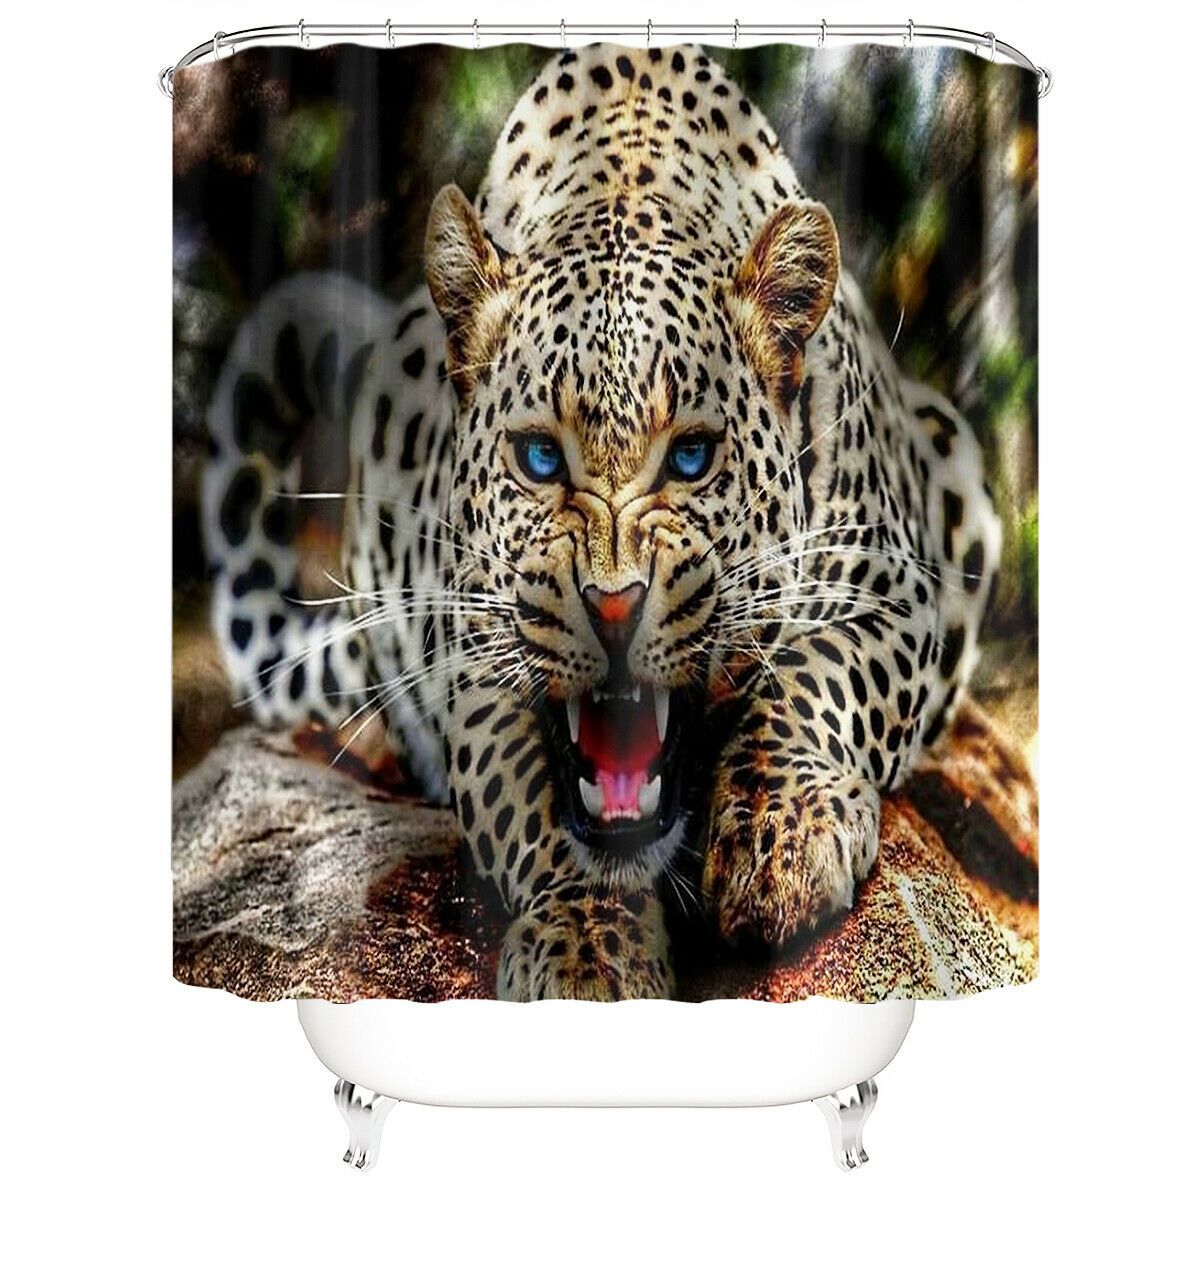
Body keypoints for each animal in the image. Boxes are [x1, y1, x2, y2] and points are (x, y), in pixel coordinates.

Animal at [200, 44, 1000, 1000]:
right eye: (541, 459)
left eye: (691, 458)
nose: (613, 606)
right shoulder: (470, 648)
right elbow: (527, 794)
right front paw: (586, 945)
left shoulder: (898, 585)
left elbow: (817, 678)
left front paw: (783, 839)